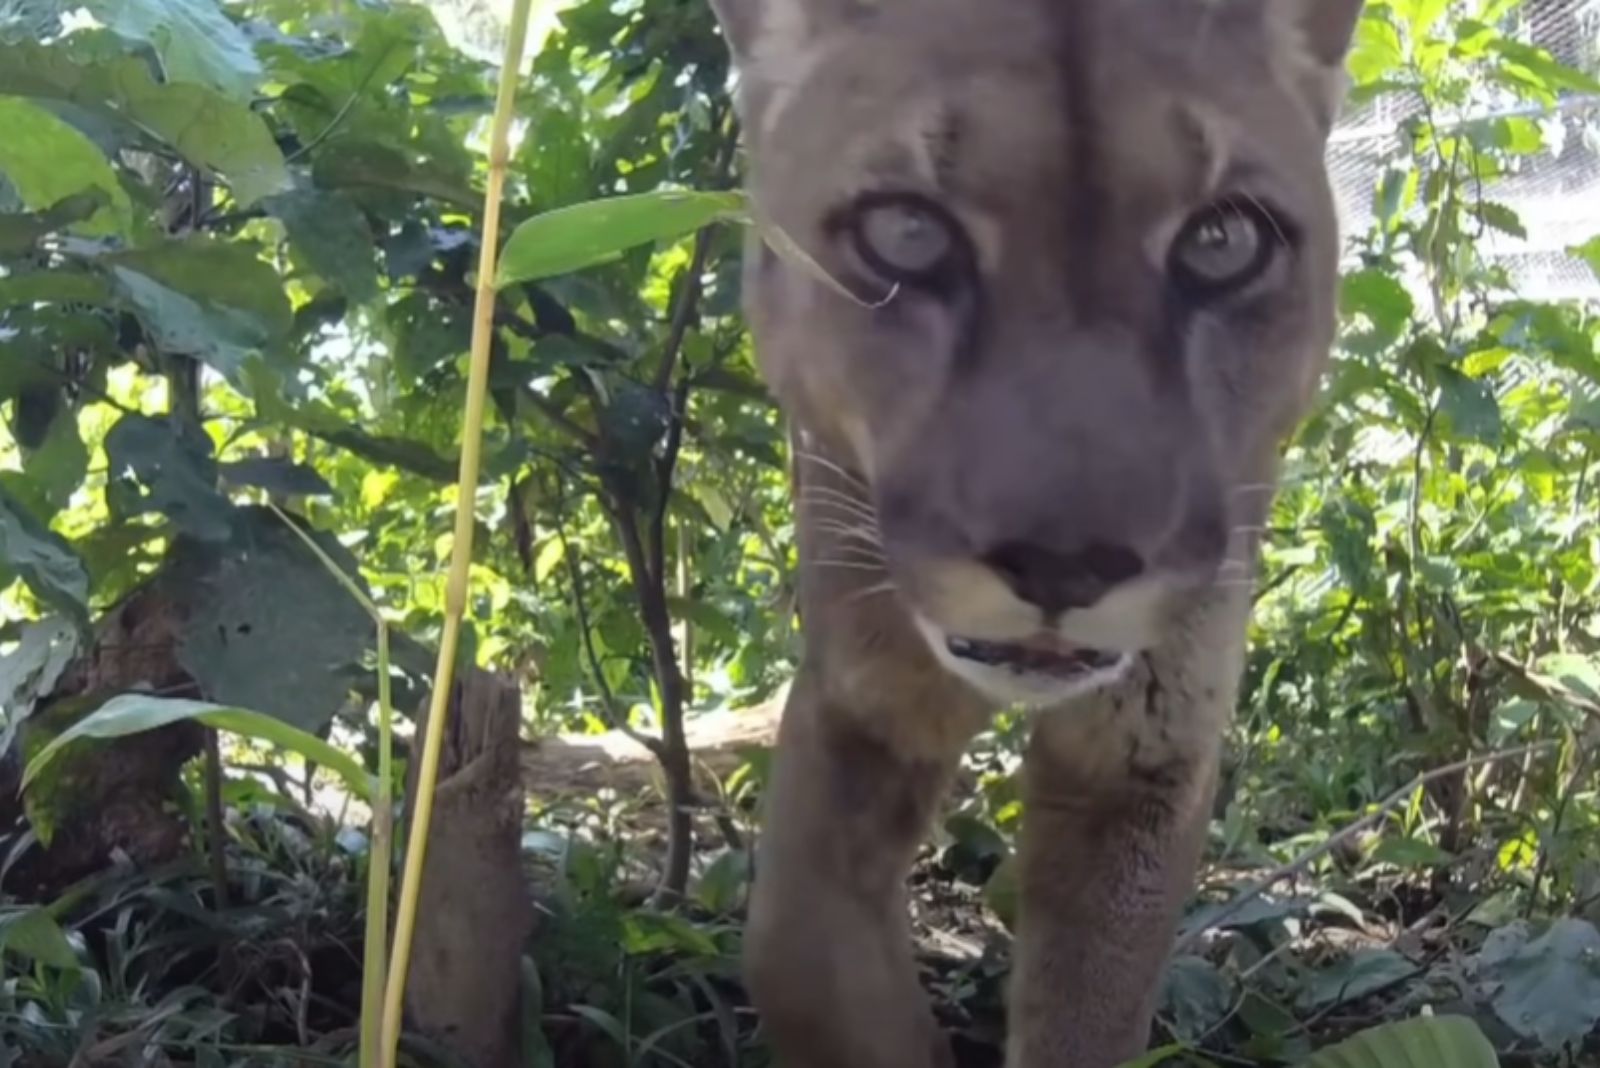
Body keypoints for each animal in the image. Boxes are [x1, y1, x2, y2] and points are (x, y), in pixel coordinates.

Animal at [707, 0, 1369, 1061]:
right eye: (907, 234)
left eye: (1223, 241)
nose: (1066, 565)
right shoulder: (862, 700)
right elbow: (792, 955)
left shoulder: (1143, 748)